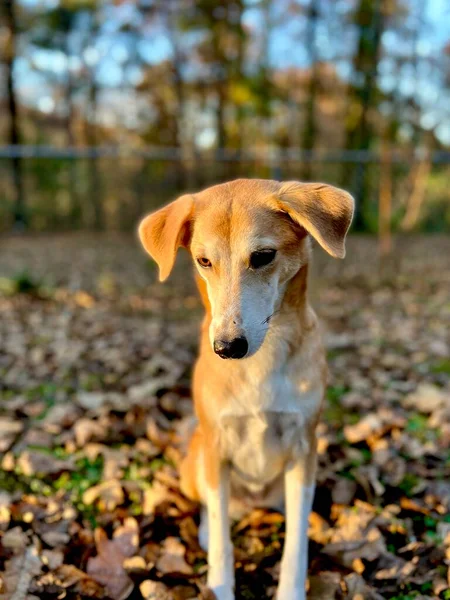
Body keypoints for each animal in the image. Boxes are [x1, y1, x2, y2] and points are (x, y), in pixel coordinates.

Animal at [139, 179, 354, 600]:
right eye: (204, 261)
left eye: (263, 256)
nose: (226, 347)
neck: (261, 361)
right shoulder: (217, 444)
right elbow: (222, 537)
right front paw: (220, 585)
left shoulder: (304, 446)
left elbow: (295, 543)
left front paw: (291, 590)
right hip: (196, 463)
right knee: (210, 506)